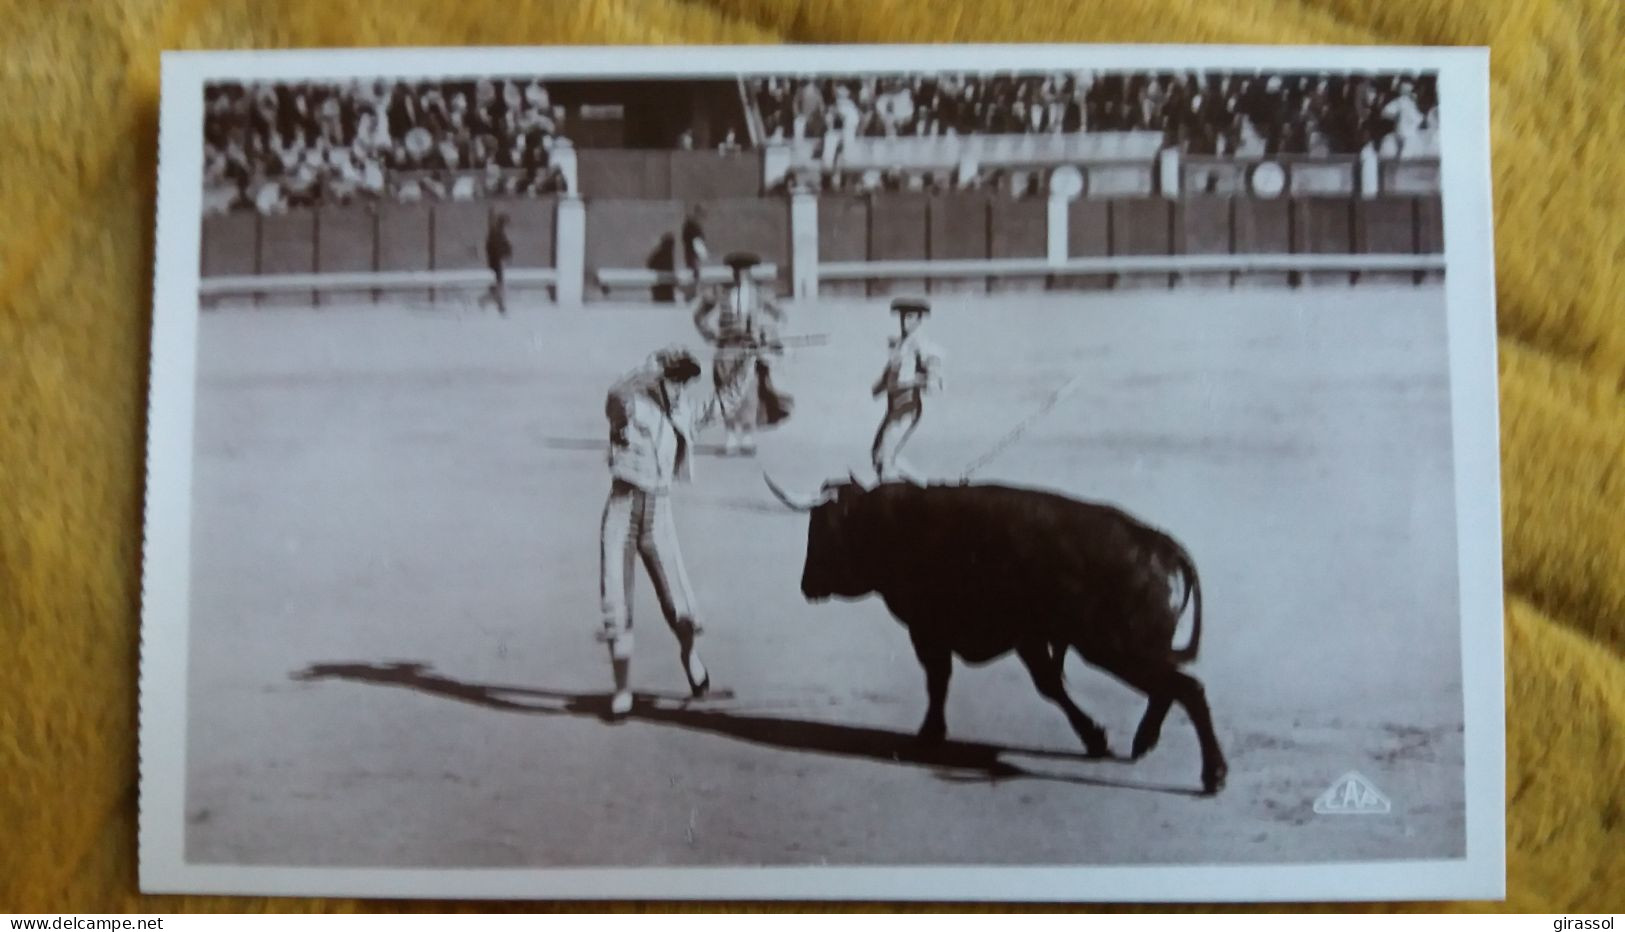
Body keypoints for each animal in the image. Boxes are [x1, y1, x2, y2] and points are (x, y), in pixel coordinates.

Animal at [767, 480, 1222, 795]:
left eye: (822, 532)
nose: (806, 585)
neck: (896, 526)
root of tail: (1158, 543)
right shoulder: (1026, 638)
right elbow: (1049, 685)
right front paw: (1095, 736)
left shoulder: (930, 632)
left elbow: (939, 681)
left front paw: (930, 733)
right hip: (1129, 649)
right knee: (1169, 688)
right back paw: (1145, 743)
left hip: (1114, 648)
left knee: (1187, 688)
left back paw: (1212, 773)